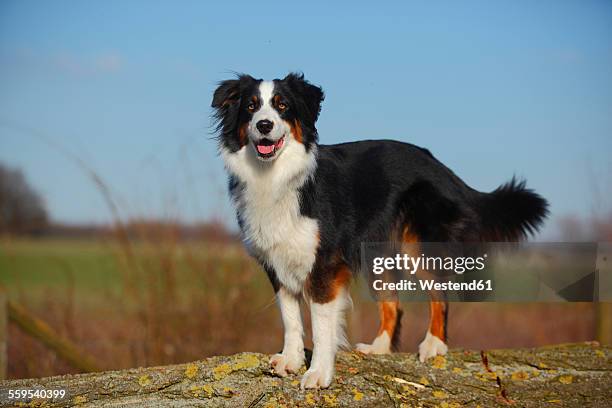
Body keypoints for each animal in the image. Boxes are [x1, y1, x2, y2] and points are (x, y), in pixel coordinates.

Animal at [212, 73, 548, 388]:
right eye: (251, 107)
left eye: (282, 106)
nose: (264, 125)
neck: (277, 176)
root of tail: (441, 167)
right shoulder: (277, 261)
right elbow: (291, 318)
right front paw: (292, 360)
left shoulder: (324, 264)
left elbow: (321, 326)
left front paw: (318, 373)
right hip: (377, 256)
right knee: (393, 305)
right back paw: (379, 348)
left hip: (418, 245)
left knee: (439, 290)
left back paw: (434, 344)